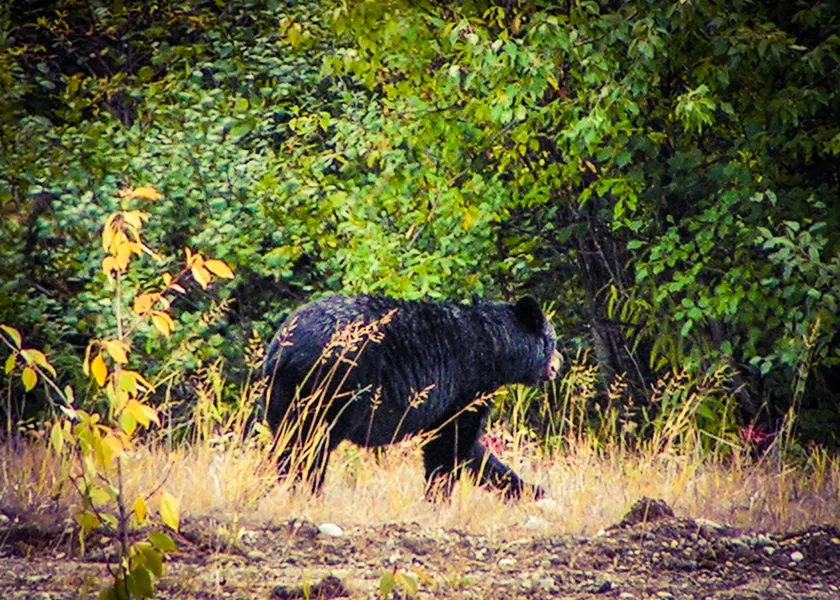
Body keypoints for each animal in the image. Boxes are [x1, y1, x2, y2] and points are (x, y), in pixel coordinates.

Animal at [266, 294, 560, 496]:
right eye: (553, 340)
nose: (558, 364)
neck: (496, 347)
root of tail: (286, 349)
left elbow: (473, 451)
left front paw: (531, 490)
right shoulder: (467, 383)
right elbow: (452, 442)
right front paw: (437, 495)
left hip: (282, 393)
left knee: (286, 441)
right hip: (332, 389)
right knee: (310, 444)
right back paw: (307, 489)